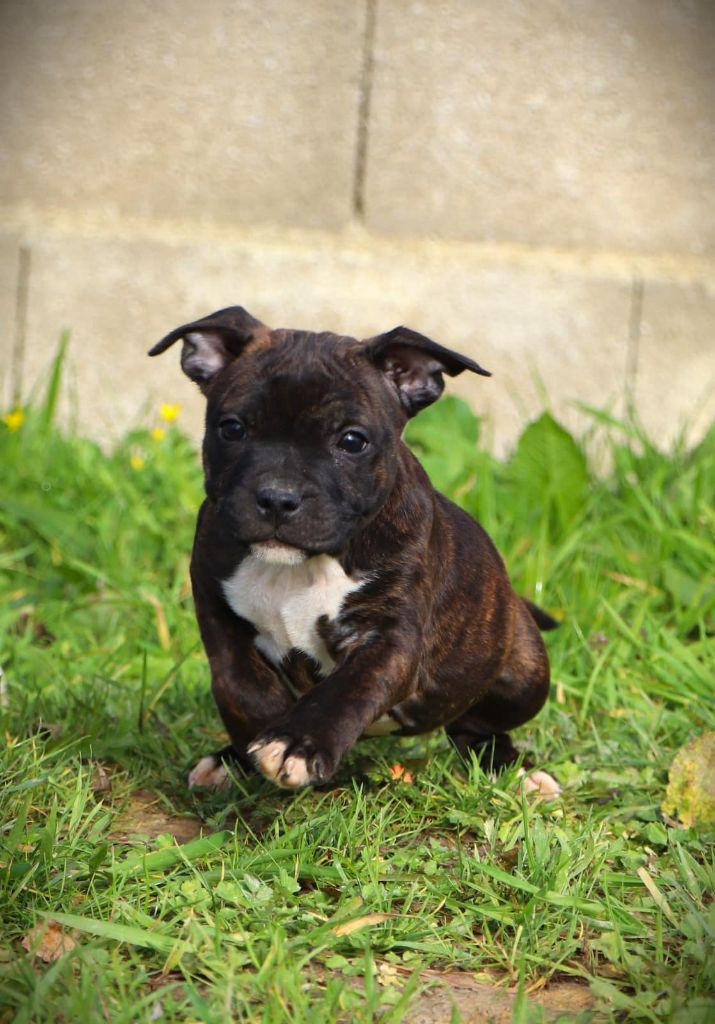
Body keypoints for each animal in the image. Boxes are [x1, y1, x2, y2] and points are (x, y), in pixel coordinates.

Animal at [150, 305, 561, 798]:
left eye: (352, 441)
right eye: (232, 429)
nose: (278, 497)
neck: (303, 565)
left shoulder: (391, 639)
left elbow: (349, 687)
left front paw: (297, 743)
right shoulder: (217, 611)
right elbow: (240, 686)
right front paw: (258, 740)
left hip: (522, 673)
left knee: (475, 728)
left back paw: (516, 773)